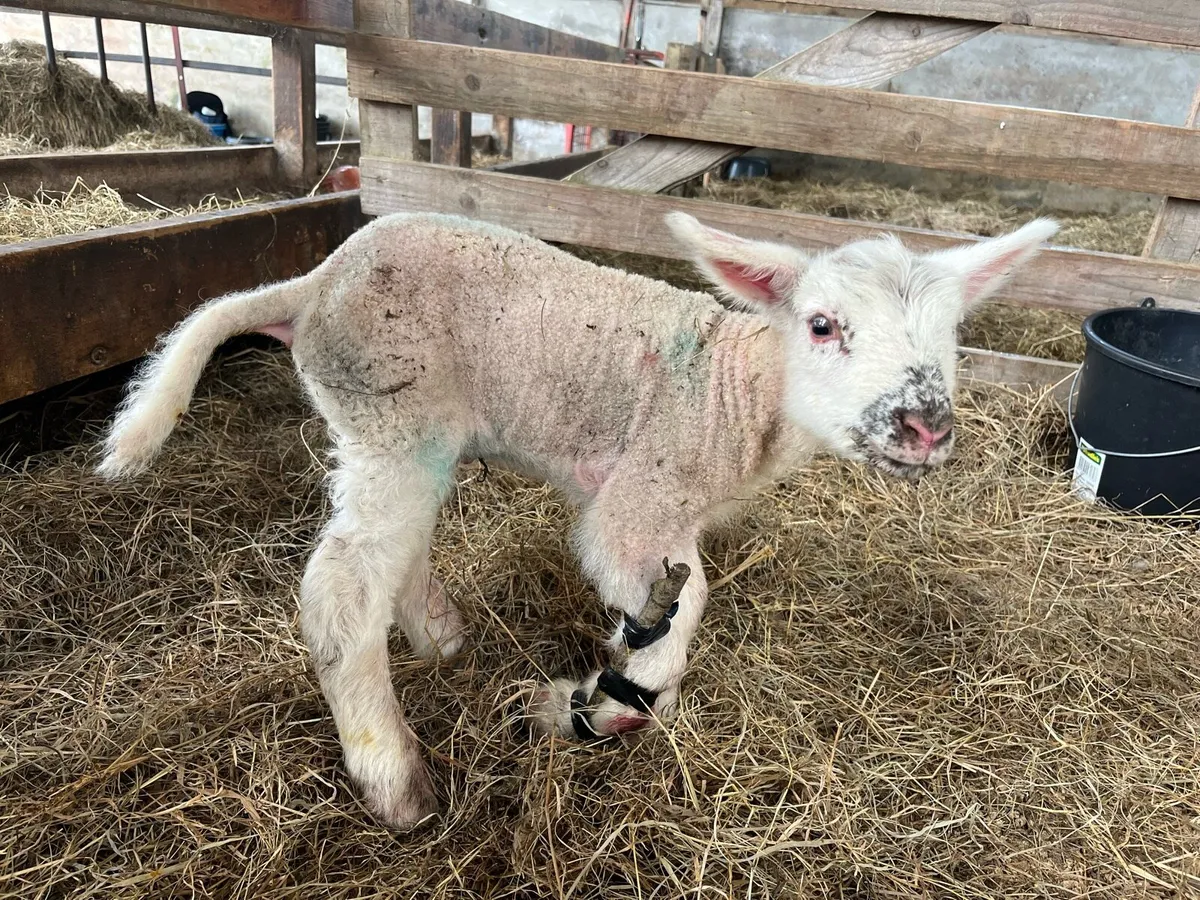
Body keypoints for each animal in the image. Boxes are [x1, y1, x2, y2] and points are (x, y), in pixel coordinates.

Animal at [98, 210, 1058, 830]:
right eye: (822, 325)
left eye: (953, 336)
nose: (926, 425)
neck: (739, 391)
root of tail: (314, 283)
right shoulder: (642, 495)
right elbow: (680, 601)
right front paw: (611, 701)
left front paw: (610, 689)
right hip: (393, 408)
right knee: (342, 586)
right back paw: (395, 779)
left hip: (413, 433)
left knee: (395, 552)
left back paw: (442, 638)